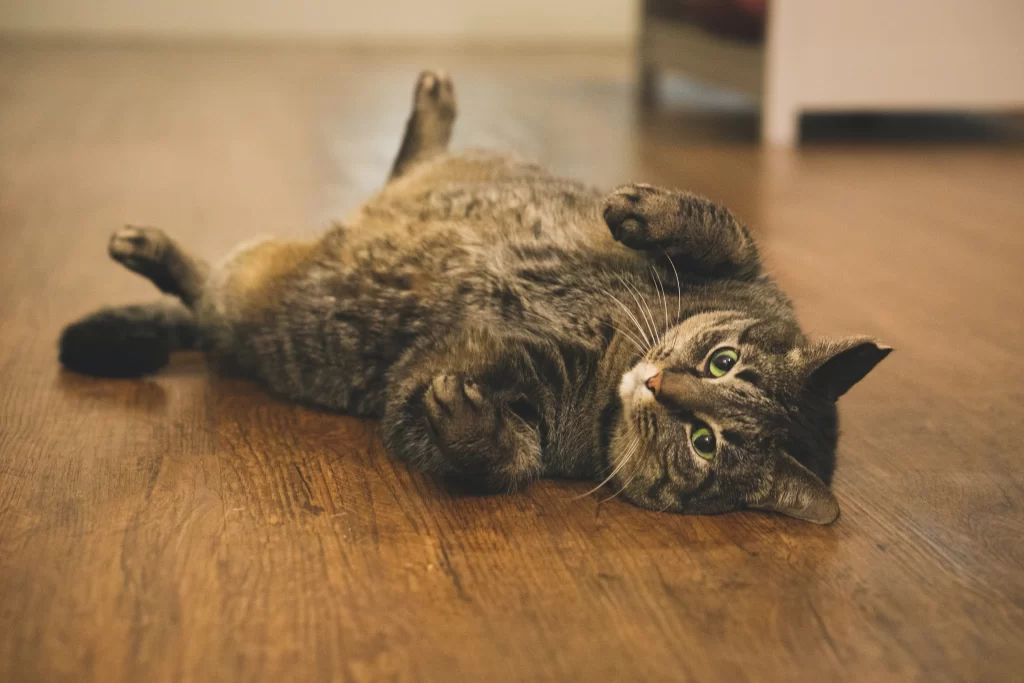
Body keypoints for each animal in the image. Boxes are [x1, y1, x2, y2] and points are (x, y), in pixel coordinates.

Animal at [58, 70, 888, 524]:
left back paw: (151, 251)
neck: (614, 355)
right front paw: (642, 209)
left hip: (239, 298)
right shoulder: (747, 269)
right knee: (406, 163)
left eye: (707, 442)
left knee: (200, 293)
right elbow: (718, 225)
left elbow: (499, 455)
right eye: (721, 361)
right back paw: (433, 108)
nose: (659, 384)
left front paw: (470, 420)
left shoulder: (444, 401)